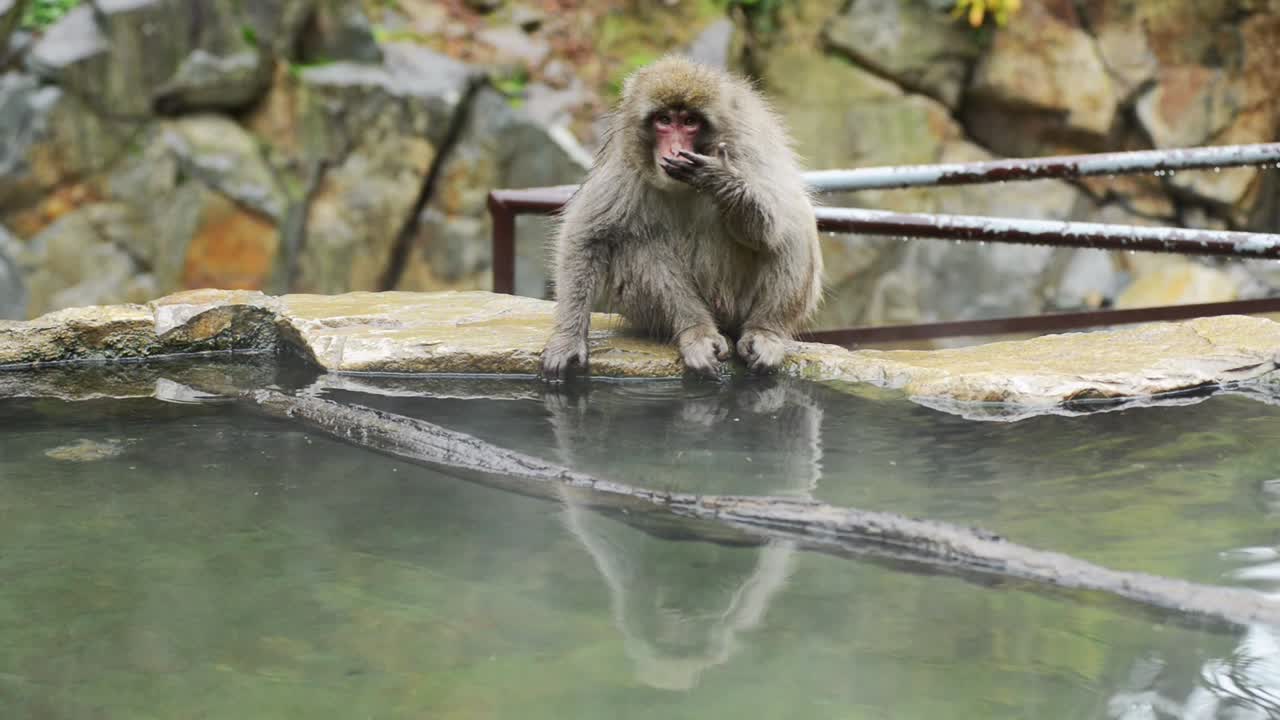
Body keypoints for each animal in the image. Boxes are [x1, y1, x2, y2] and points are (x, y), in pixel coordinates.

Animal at [540, 55, 823, 382]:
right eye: (664, 120)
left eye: (690, 122)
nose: (675, 148)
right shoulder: (625, 165)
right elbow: (587, 236)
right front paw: (568, 338)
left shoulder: (748, 152)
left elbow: (772, 226)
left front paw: (722, 181)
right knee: (636, 245)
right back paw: (696, 332)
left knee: (794, 228)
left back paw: (766, 332)